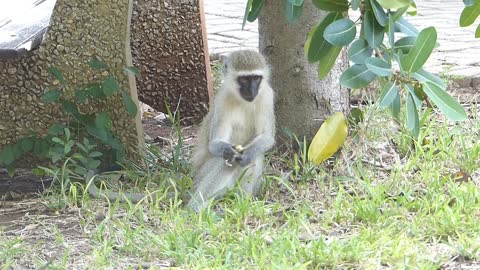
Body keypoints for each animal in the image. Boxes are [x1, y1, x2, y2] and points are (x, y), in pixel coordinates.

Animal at [188, 49, 276, 212]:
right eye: (244, 80)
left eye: (256, 78)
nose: (252, 91)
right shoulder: (223, 99)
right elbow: (214, 143)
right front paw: (228, 151)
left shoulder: (267, 95)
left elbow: (266, 138)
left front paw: (247, 154)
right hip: (201, 175)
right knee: (224, 162)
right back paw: (194, 208)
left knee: (256, 156)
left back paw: (243, 201)